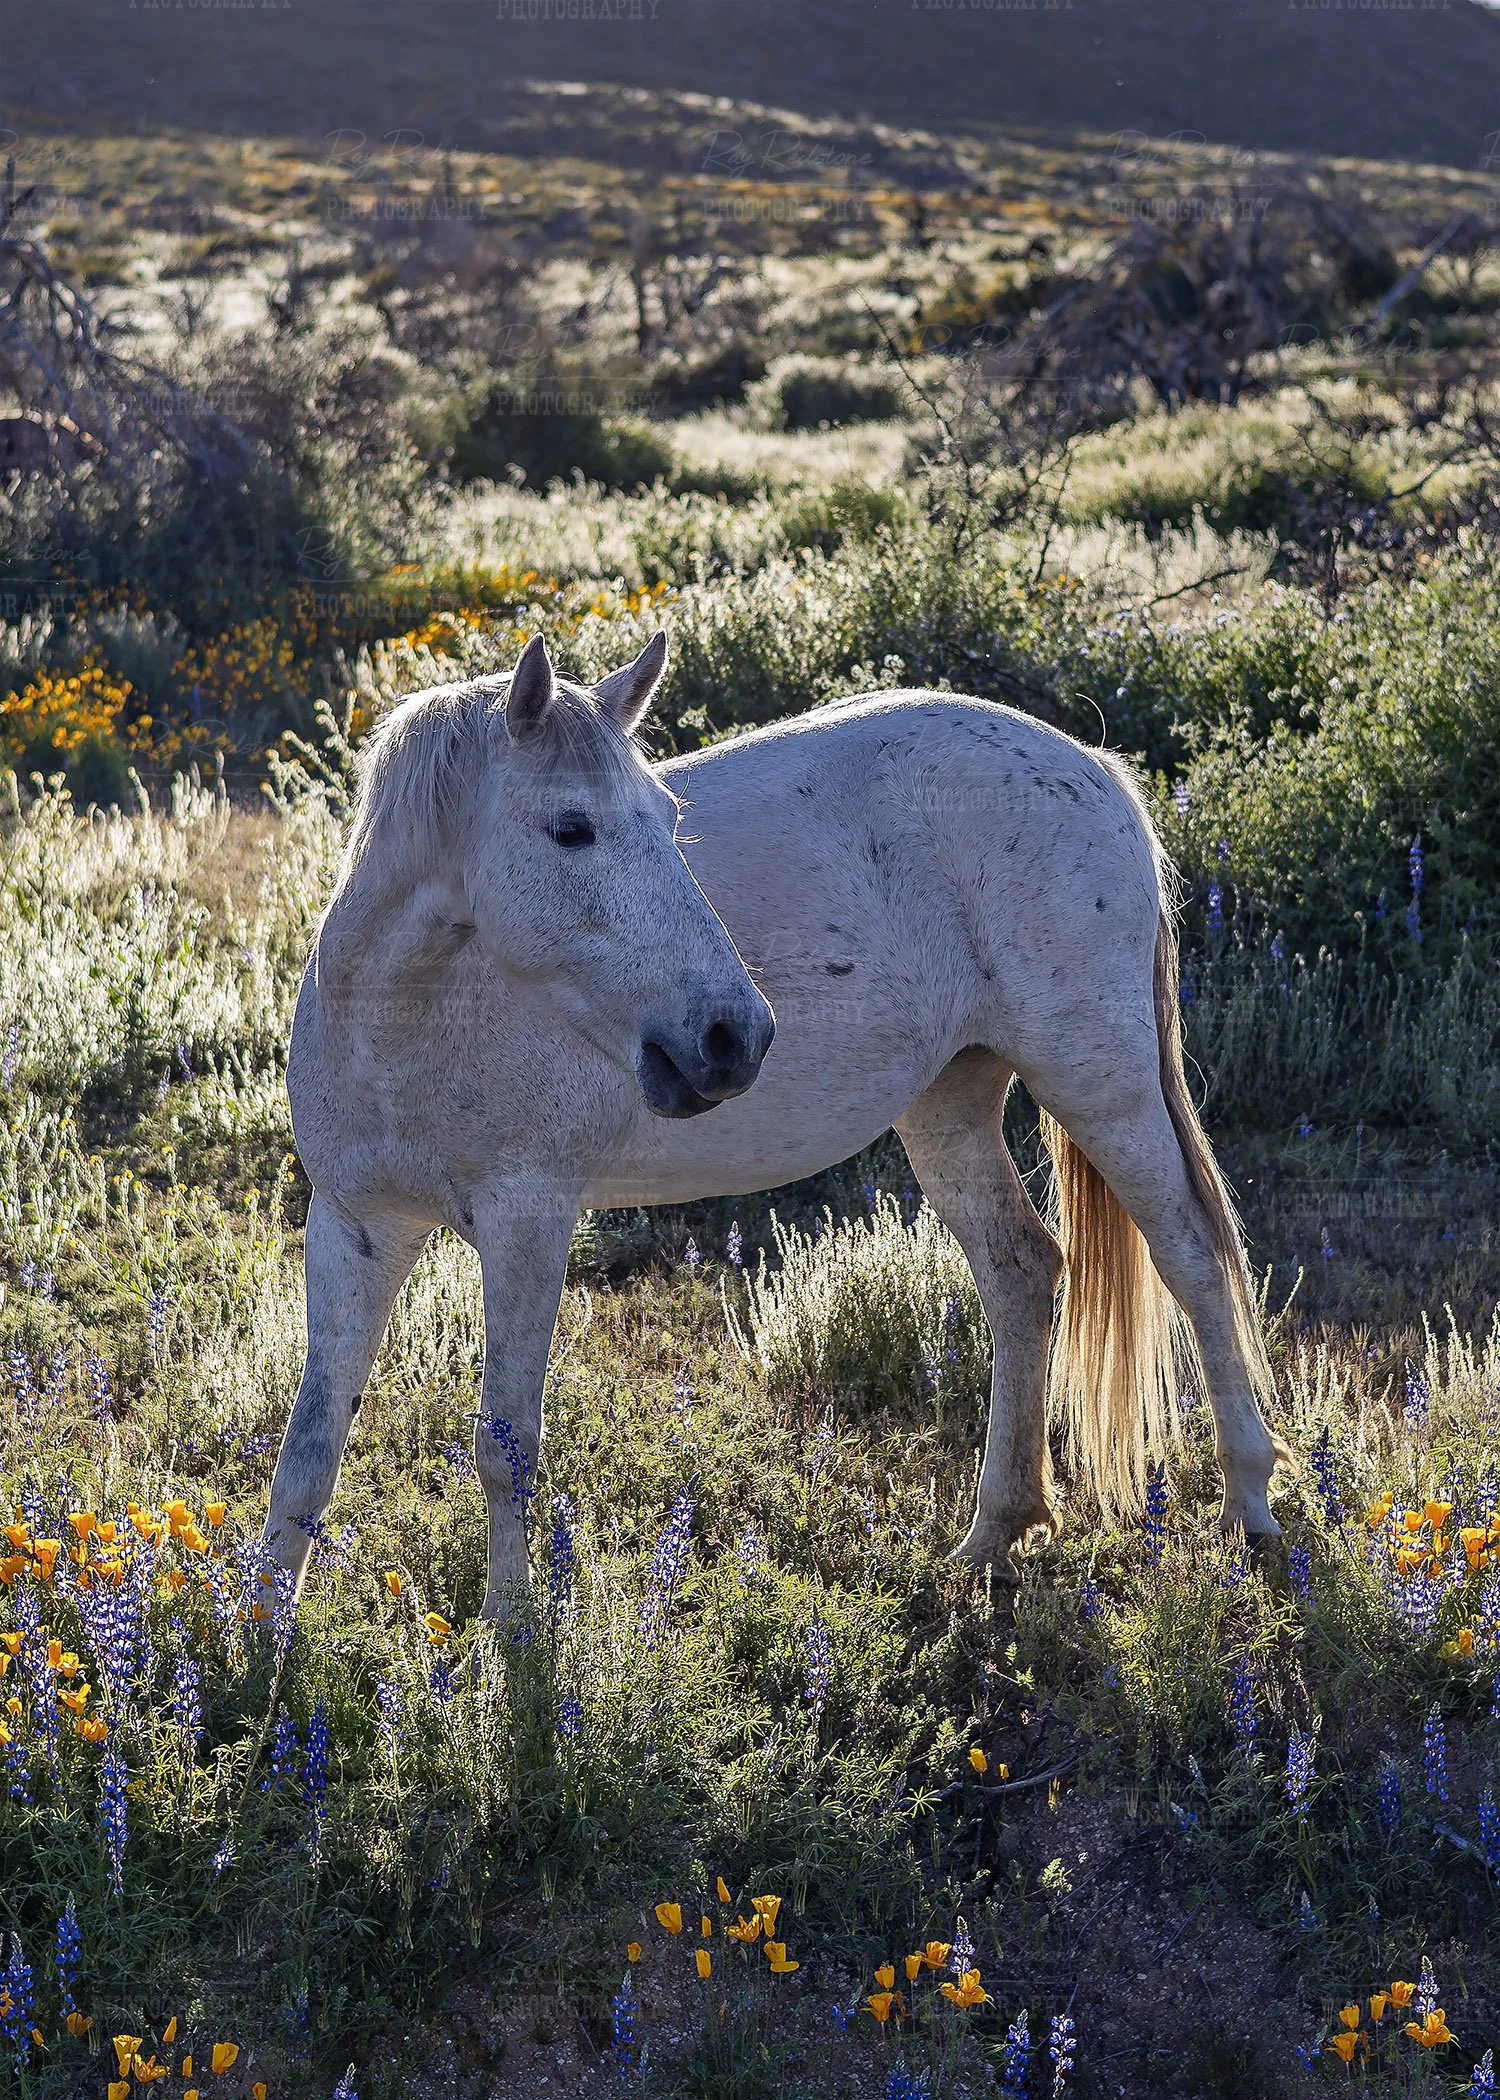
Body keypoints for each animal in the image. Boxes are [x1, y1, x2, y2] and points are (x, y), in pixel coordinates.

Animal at [262, 631, 1283, 1619]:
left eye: (668, 817)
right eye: (572, 829)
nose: (734, 1035)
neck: (407, 1021)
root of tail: (1094, 767)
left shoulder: (526, 1227)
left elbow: (503, 1447)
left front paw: (512, 1644)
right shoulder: (355, 1230)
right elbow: (309, 1449)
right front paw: (262, 1638)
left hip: (1099, 1082)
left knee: (1193, 1261)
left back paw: (1250, 1510)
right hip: (950, 1104)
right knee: (1022, 1272)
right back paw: (994, 1533)